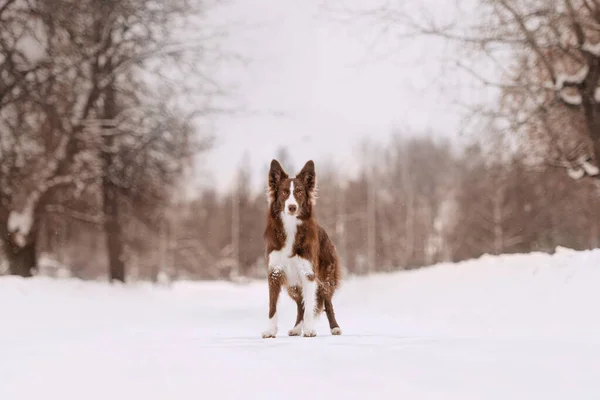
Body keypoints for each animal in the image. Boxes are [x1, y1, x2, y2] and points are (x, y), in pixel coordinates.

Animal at [262, 159, 342, 338]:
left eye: (299, 192)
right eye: (284, 192)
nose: (292, 207)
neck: (291, 227)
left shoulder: (308, 273)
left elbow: (310, 306)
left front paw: (310, 330)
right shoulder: (275, 272)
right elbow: (272, 307)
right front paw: (270, 331)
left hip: (326, 276)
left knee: (327, 301)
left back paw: (334, 327)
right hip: (292, 285)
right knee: (300, 304)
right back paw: (297, 328)